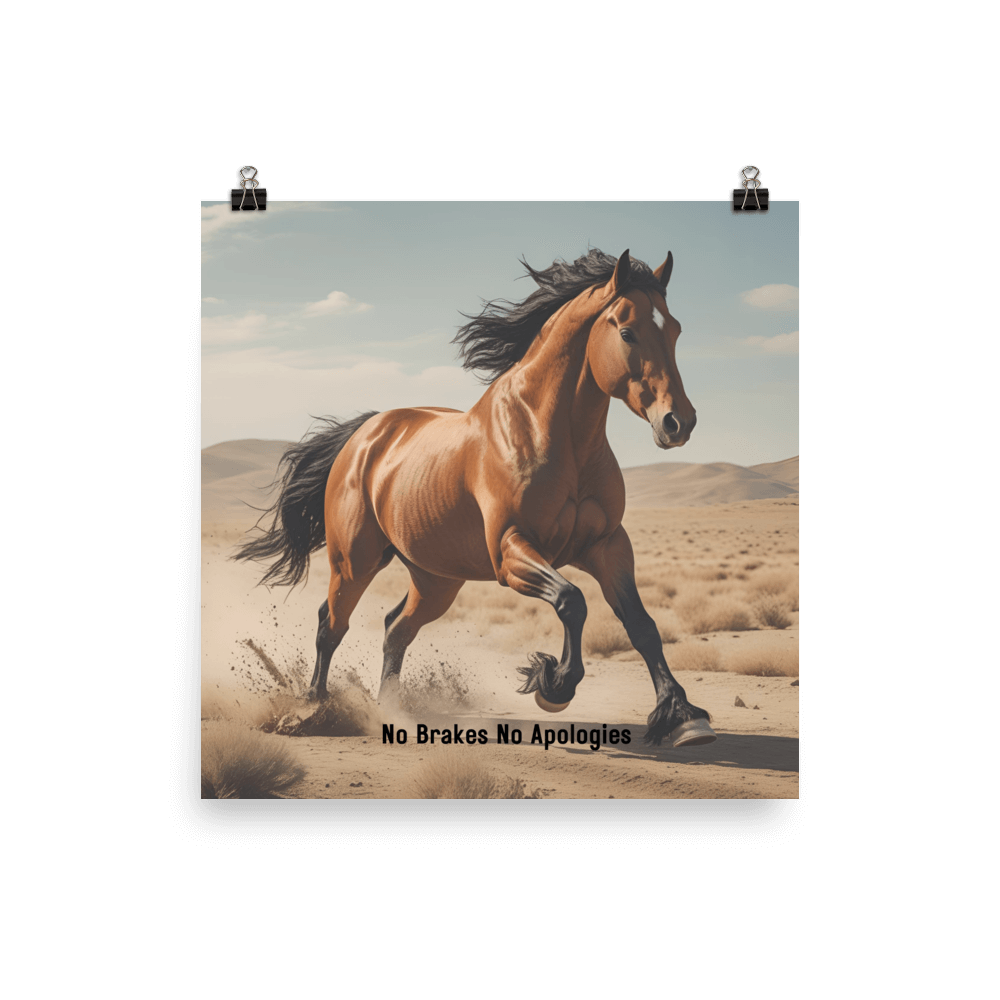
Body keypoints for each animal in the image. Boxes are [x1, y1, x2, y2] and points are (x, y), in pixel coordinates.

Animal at [233, 247, 716, 747]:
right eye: (627, 331)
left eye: (675, 329)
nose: (678, 422)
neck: (553, 434)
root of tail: (365, 433)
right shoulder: (510, 551)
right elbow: (572, 601)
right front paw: (554, 684)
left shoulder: (608, 546)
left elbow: (642, 625)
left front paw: (684, 717)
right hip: (354, 562)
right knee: (331, 625)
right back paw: (312, 709)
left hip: (436, 579)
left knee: (395, 630)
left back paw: (391, 711)